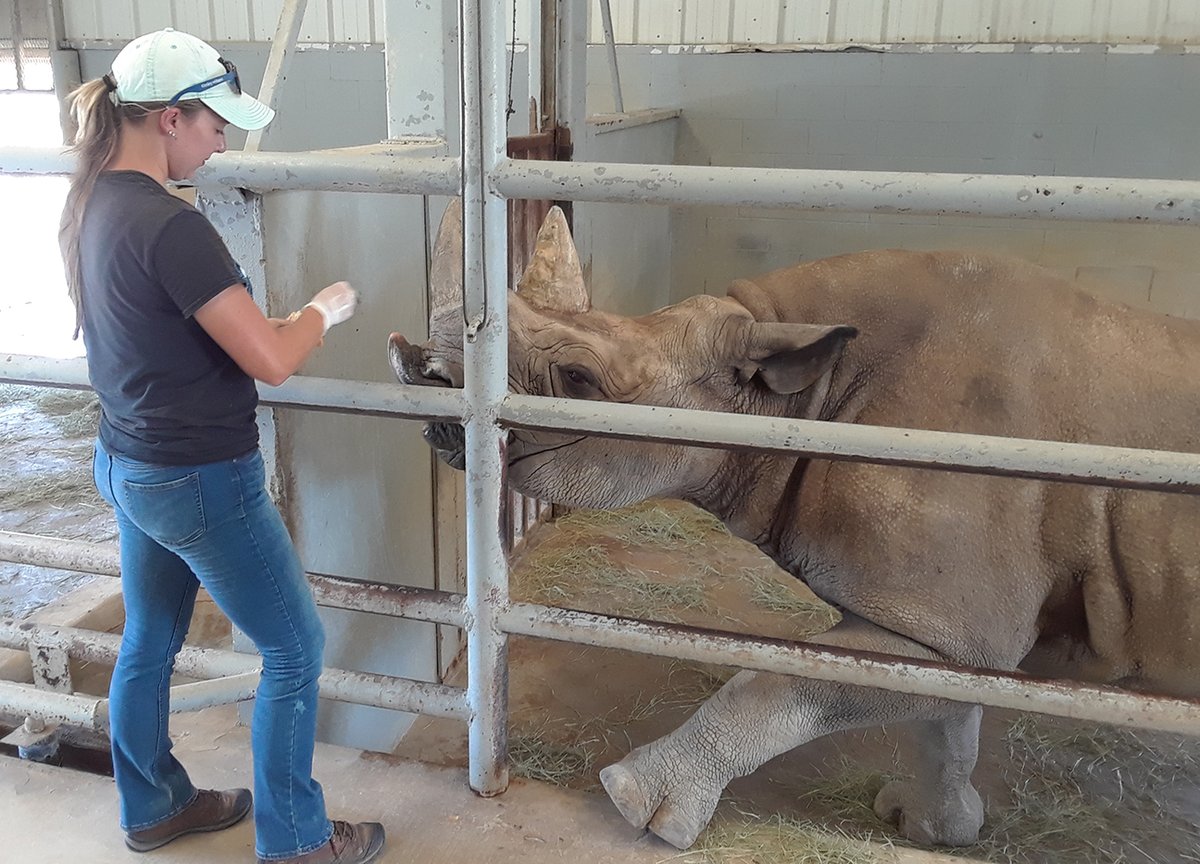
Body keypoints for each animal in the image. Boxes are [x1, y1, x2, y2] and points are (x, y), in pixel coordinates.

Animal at [388, 201, 1200, 850]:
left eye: (581, 381)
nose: (427, 375)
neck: (795, 399)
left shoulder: (942, 616)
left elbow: (787, 680)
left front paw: (635, 804)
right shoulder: (954, 627)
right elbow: (951, 715)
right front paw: (932, 830)